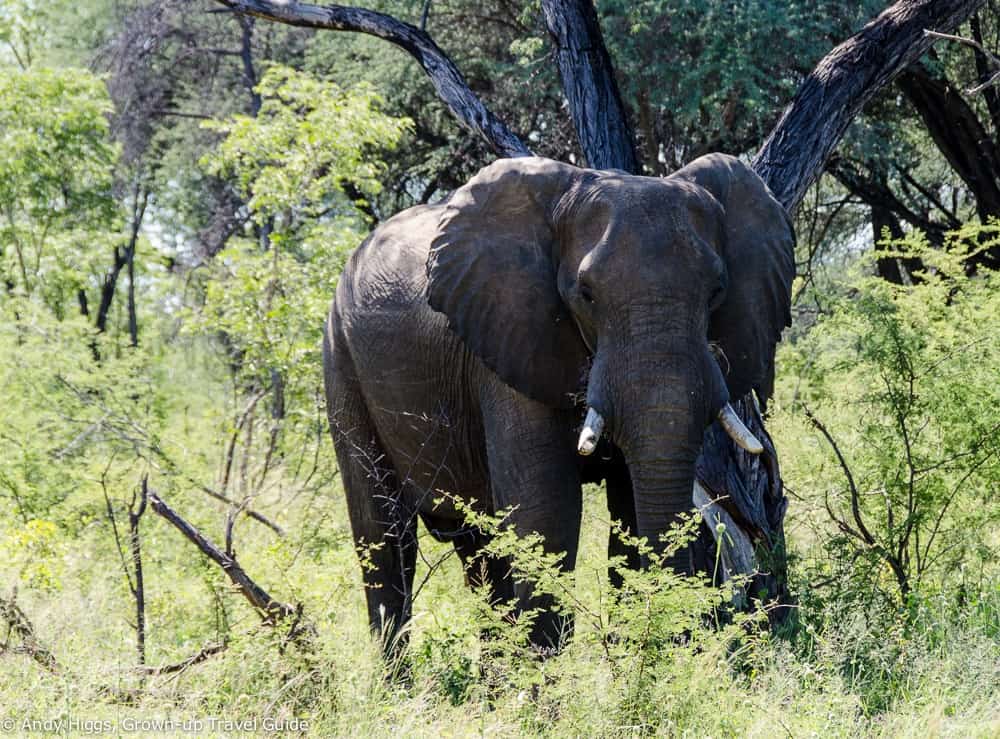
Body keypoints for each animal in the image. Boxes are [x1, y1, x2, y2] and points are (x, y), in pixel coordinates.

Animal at [322, 153, 795, 653]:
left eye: (717, 291)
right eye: (586, 294)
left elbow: (628, 509)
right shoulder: (510, 334)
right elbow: (546, 514)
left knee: (478, 550)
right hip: (340, 359)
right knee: (384, 538)